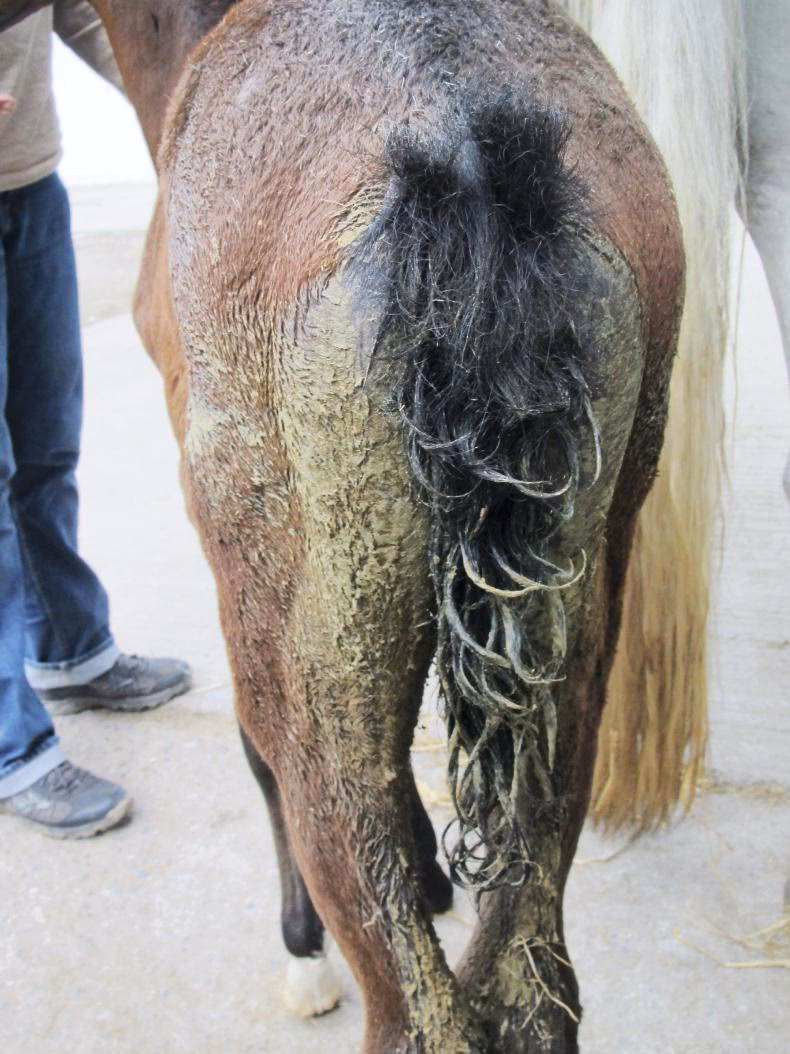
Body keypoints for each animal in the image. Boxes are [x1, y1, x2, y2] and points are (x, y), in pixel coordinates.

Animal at [0, 1, 684, 1049]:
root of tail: (466, 148)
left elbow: (255, 755)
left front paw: (302, 954)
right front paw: (432, 874)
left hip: (310, 632)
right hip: (575, 616)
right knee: (533, 988)